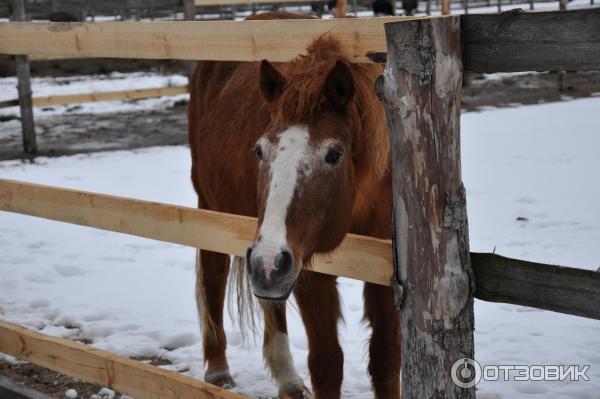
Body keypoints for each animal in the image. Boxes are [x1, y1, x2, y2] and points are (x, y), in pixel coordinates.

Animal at [190, 10, 400, 398]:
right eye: (260, 150)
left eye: (334, 154)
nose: (268, 261)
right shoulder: (307, 268)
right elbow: (327, 363)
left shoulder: (385, 268)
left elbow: (386, 360)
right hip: (213, 208)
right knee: (213, 273)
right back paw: (218, 368)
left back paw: (286, 377)